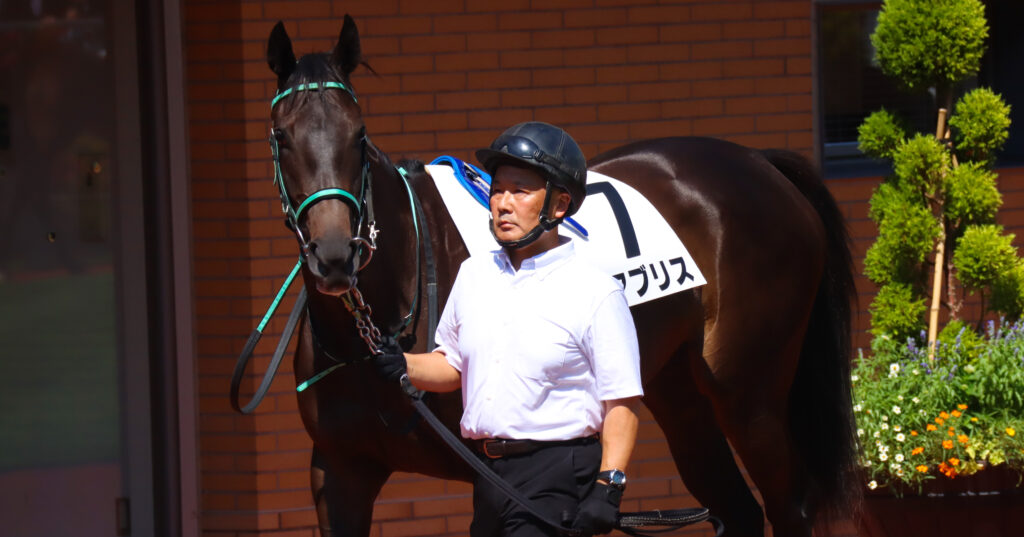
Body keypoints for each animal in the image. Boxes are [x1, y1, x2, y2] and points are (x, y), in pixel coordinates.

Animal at [261, 15, 858, 537]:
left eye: (359, 134)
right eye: (281, 136)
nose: (334, 256)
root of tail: (760, 163)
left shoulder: (490, 473)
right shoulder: (339, 473)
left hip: (749, 394)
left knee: (789, 507)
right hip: (677, 392)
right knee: (737, 509)